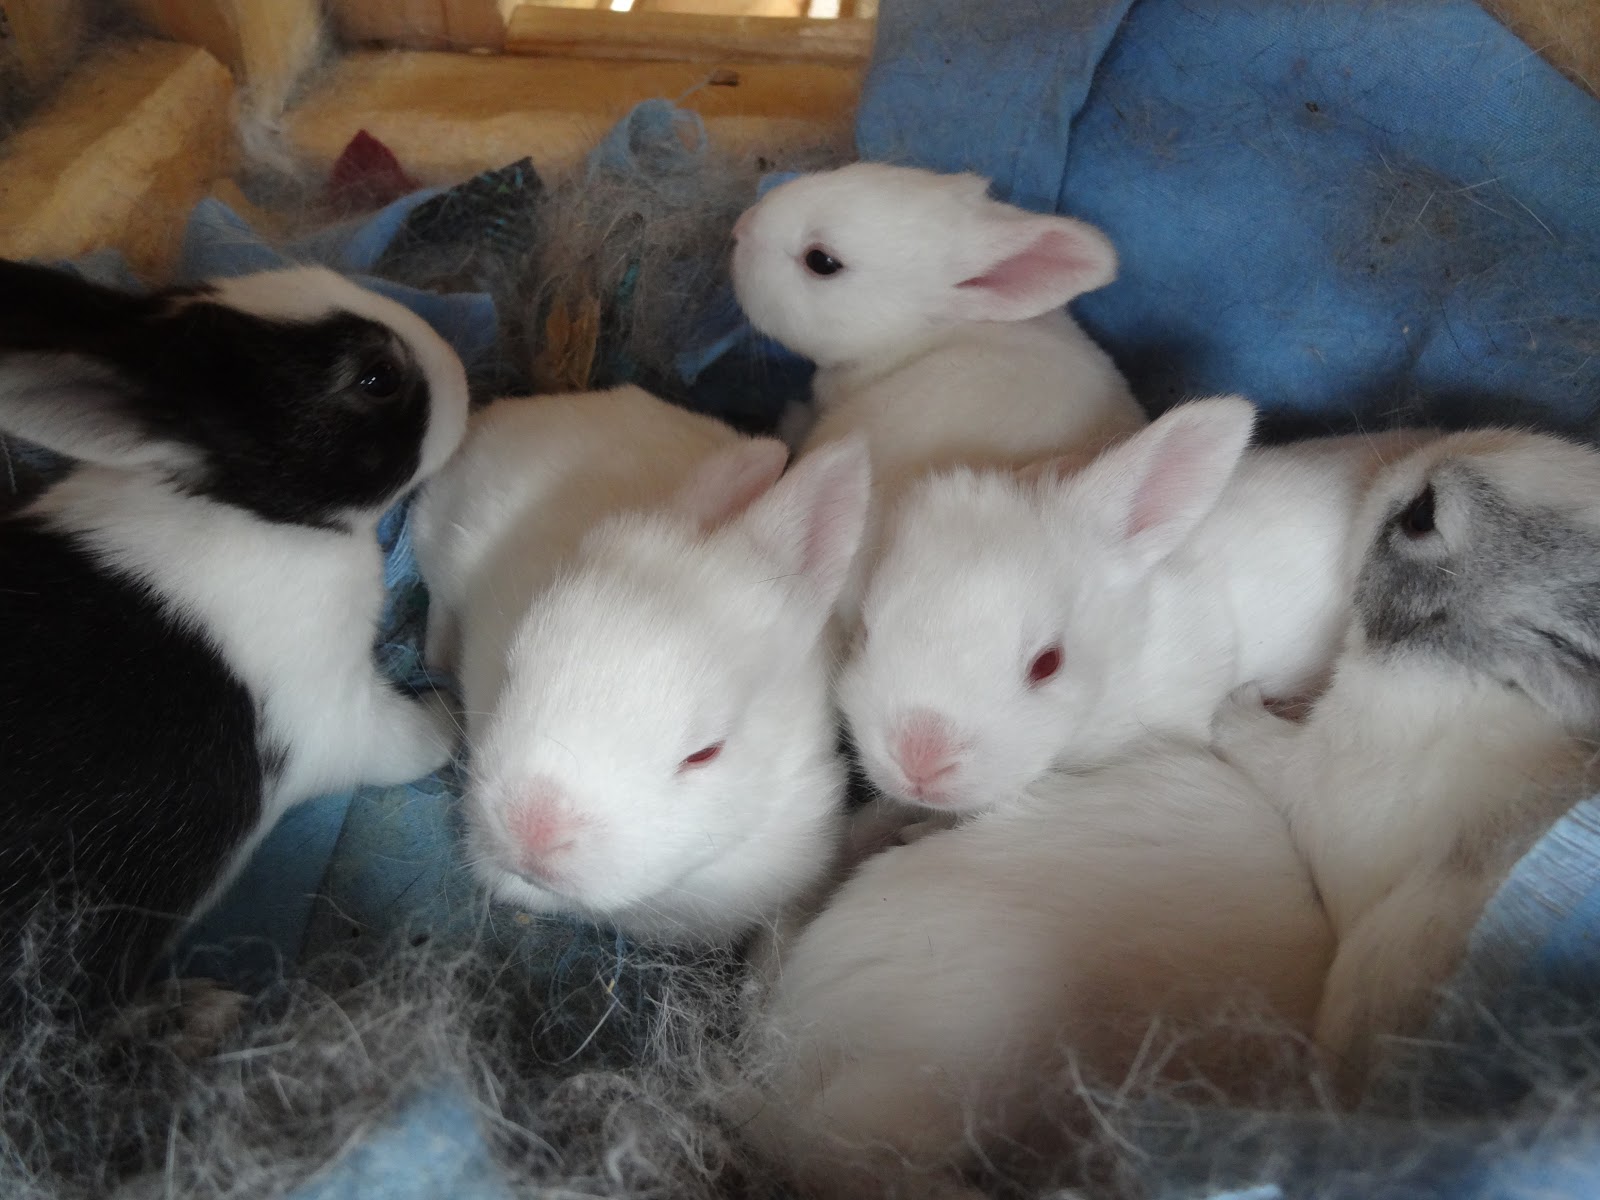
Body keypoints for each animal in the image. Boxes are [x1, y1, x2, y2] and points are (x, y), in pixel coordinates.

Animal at [0, 260, 471, 1016]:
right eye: (376, 379)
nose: (457, 366)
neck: (245, 508)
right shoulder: (335, 718)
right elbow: (410, 741)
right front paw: (453, 714)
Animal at [1212, 428, 1600, 1101]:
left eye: (1423, 516)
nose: (1414, 453)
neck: (1477, 668)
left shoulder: (1327, 770)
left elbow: (1269, 753)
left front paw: (1230, 709)